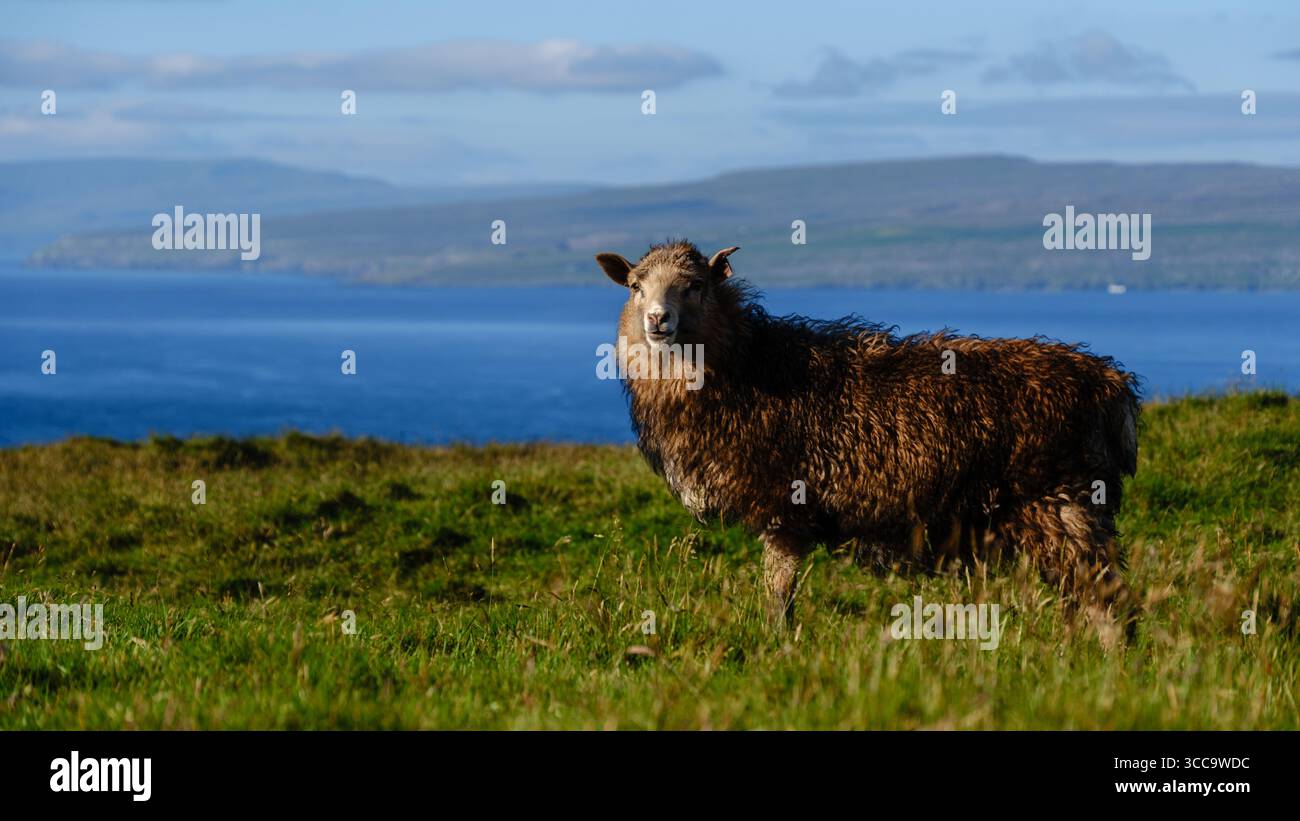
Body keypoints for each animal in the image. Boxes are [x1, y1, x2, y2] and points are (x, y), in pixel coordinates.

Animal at [596, 239, 1142, 629]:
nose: (657, 319)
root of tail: (1110, 383)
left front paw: (777, 651)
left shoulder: (784, 511)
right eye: (635, 286)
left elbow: (778, 599)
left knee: (1110, 603)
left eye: (694, 285)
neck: (745, 366)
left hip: (1064, 502)